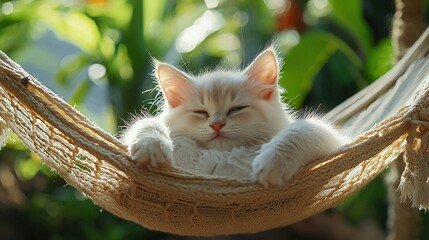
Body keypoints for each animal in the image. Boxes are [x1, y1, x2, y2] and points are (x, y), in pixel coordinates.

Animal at [120, 47, 348, 186]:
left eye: (236, 109)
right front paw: (151, 146)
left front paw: (272, 163)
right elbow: (147, 124)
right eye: (201, 112)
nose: (216, 124)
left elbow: (299, 131)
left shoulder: (330, 138)